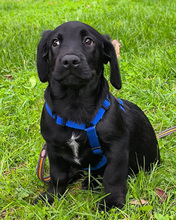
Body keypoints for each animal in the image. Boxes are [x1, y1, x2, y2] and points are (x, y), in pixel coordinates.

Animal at [36, 20, 160, 210]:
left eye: (89, 41)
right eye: (55, 43)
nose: (70, 61)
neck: (75, 105)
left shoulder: (117, 147)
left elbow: (113, 176)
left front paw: (111, 202)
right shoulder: (53, 147)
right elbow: (57, 175)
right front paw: (52, 196)